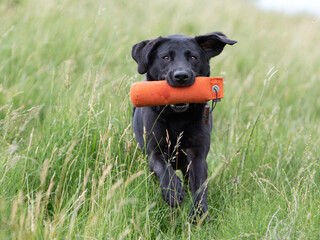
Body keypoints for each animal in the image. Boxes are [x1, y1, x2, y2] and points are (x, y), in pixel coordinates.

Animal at [131, 32, 236, 219]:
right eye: (165, 57)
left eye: (193, 57)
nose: (181, 76)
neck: (176, 119)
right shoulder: (155, 151)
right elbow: (163, 168)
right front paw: (172, 192)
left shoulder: (197, 154)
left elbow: (199, 184)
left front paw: (199, 213)